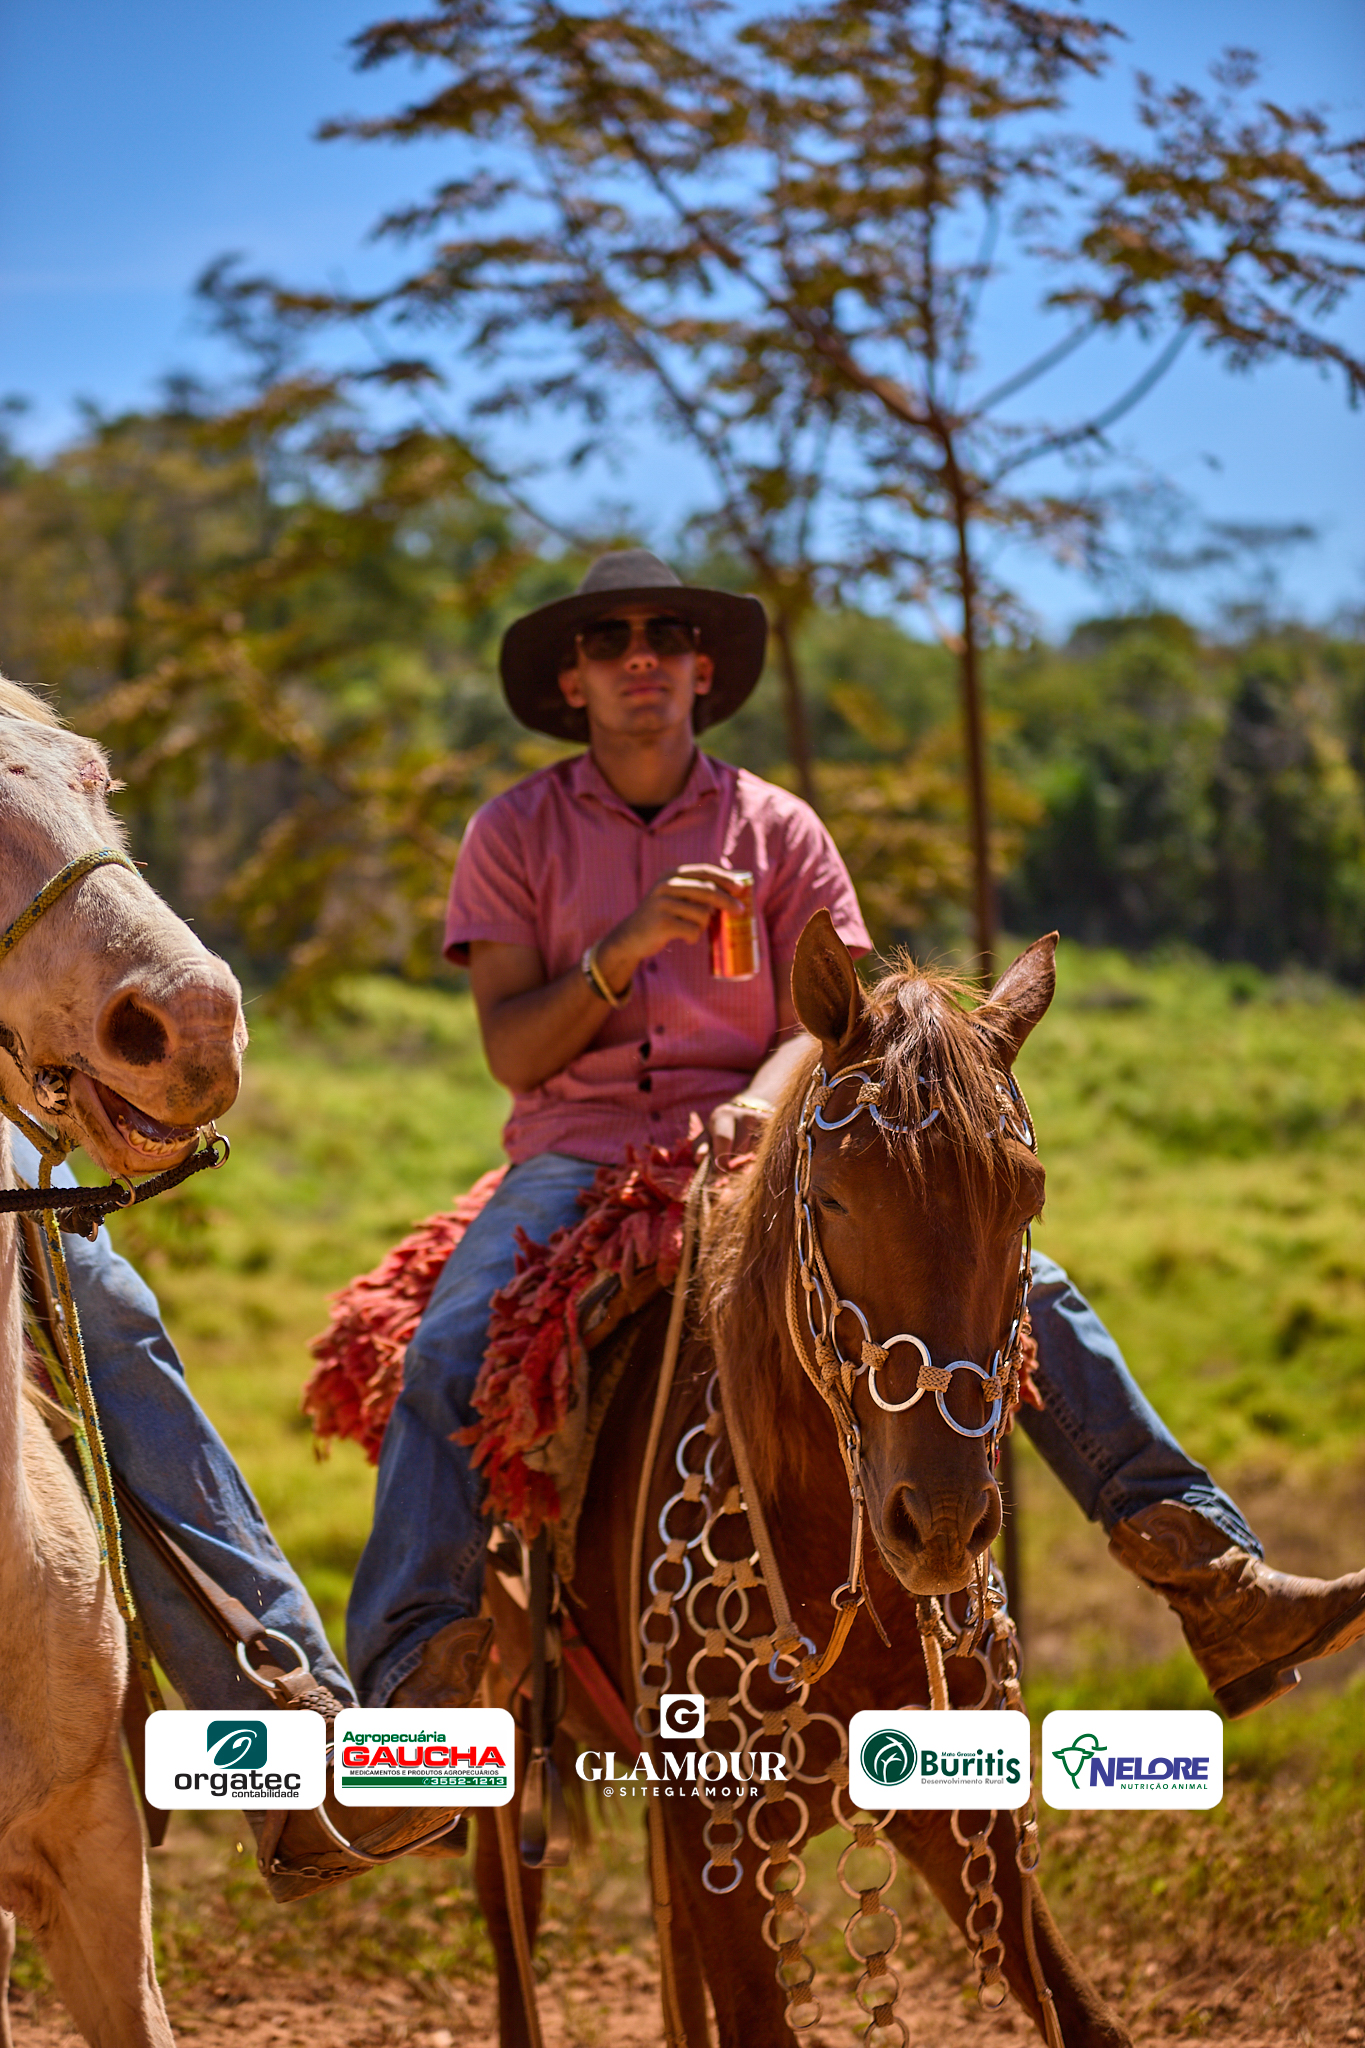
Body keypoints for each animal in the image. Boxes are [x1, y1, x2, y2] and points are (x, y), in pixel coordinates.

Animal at [478, 910, 1132, 2047]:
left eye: (1026, 1197)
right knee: (509, 1905)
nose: (941, 1522)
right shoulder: (722, 1836)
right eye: (832, 1196)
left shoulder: (960, 1811)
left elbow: (1083, 2013)